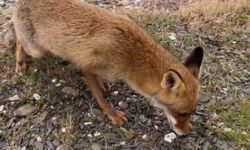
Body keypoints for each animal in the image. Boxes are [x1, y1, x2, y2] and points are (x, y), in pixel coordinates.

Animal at [10, 0, 204, 136]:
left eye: (191, 113)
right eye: (182, 113)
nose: (186, 134)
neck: (130, 55)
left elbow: (101, 82)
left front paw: (103, 82)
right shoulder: (86, 65)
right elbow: (101, 98)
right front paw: (112, 114)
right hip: (36, 50)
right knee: (19, 41)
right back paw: (19, 63)